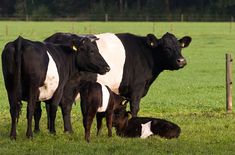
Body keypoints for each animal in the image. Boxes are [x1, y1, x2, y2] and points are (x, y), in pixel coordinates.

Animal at [43, 31, 192, 132]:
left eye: (180, 46)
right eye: (166, 48)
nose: (181, 61)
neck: (146, 54)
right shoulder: (137, 89)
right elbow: (135, 108)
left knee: (50, 105)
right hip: (69, 86)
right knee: (65, 105)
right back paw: (68, 130)